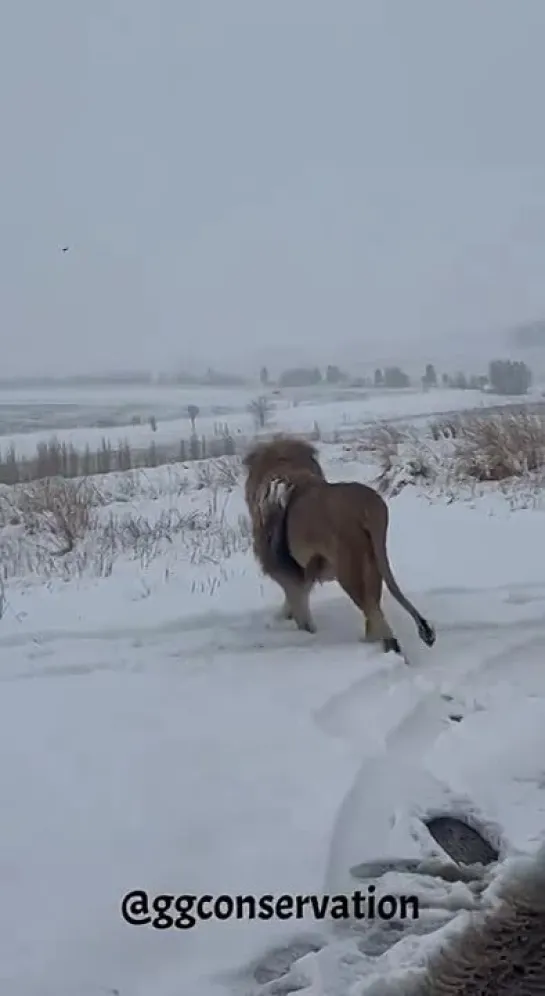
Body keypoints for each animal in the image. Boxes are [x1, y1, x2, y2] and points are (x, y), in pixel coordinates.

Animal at [242, 434, 434, 652]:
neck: (286, 468)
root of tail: (368, 504)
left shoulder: (284, 569)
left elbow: (297, 601)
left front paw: (304, 629)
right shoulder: (303, 570)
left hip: (349, 570)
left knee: (375, 614)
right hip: (372, 564)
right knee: (373, 609)